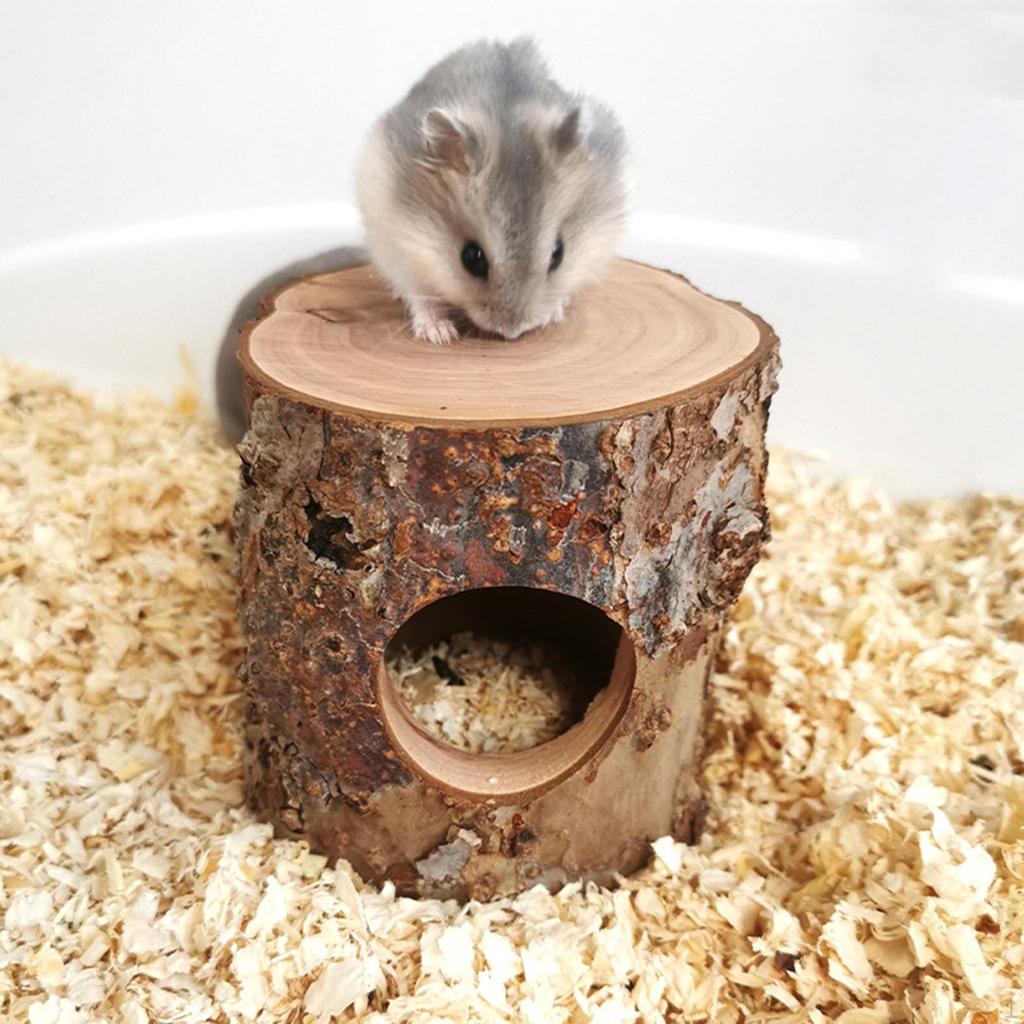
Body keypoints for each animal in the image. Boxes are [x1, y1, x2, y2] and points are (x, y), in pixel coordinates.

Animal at [355, 37, 629, 344]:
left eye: (558, 254)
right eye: (471, 258)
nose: (512, 333)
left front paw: (551, 314)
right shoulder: (400, 250)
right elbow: (422, 297)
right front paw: (441, 335)